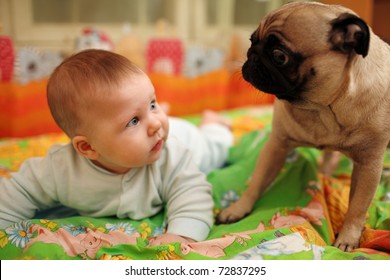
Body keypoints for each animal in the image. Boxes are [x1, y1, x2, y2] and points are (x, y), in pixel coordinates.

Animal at [216, 1, 390, 252]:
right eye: (251, 41)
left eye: (280, 56)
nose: (252, 55)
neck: (322, 108)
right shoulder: (276, 146)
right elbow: (256, 182)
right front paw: (238, 209)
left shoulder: (368, 166)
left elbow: (357, 208)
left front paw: (348, 238)